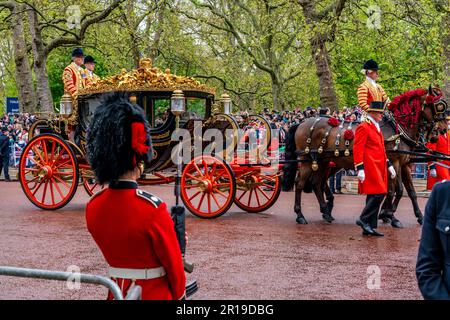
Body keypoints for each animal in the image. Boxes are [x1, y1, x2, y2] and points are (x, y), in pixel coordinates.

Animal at [284, 86, 448, 224]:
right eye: (438, 106)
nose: (442, 130)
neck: (398, 130)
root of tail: (302, 123)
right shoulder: (394, 162)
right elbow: (396, 190)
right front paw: (389, 215)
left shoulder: (405, 164)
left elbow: (410, 192)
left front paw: (418, 216)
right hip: (307, 160)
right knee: (300, 183)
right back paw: (300, 215)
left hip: (324, 162)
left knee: (317, 183)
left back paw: (326, 211)